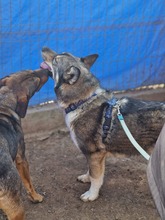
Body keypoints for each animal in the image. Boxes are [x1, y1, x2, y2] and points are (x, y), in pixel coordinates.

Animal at [0, 68, 50, 218]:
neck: (4, 102)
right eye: (37, 82)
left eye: (31, 70)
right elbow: (29, 182)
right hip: (16, 209)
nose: (47, 70)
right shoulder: (21, 159)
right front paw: (36, 197)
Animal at [41, 47, 165, 202]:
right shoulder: (98, 155)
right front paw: (87, 178)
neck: (82, 101)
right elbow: (92, 172)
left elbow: (96, 178)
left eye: (55, 60)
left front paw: (91, 195)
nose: (43, 48)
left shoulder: (94, 153)